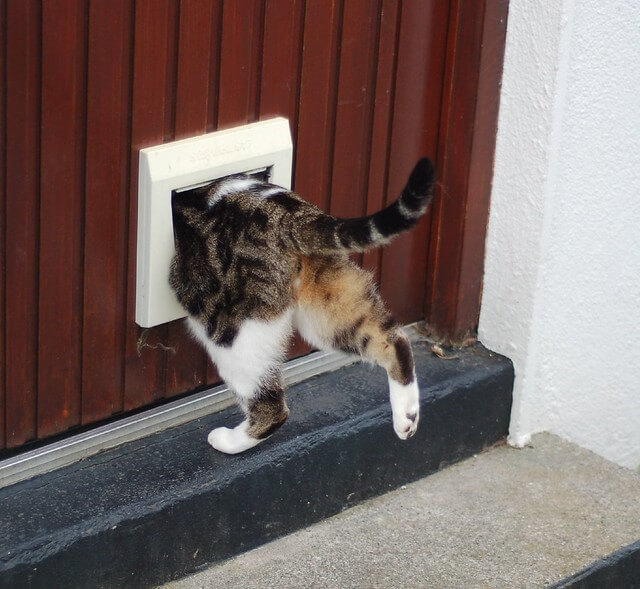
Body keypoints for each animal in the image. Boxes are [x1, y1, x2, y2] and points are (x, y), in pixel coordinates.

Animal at [169, 157, 436, 454]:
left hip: (234, 332)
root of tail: (290, 216)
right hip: (330, 309)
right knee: (394, 341)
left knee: (273, 408)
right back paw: (407, 418)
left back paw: (228, 441)